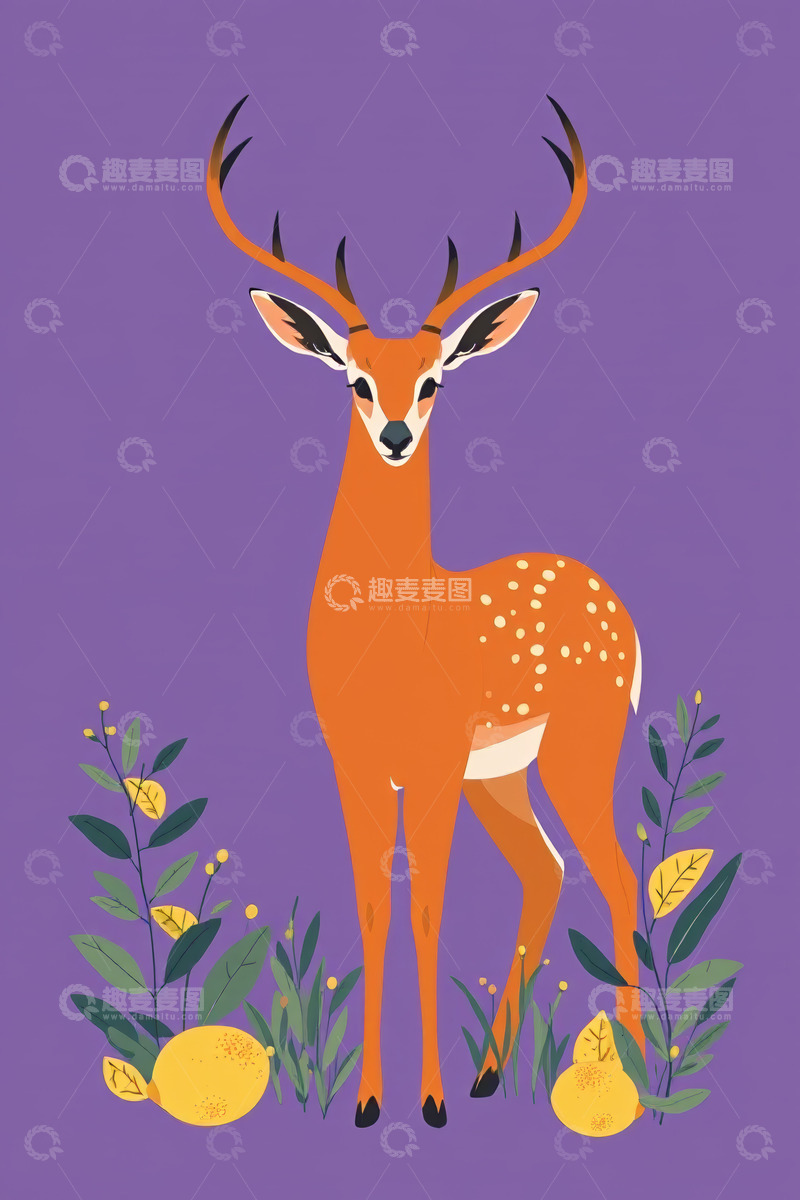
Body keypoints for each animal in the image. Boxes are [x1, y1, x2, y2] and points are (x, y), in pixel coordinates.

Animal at [208, 95, 643, 1129]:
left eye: (436, 377)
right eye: (355, 377)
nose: (400, 432)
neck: (396, 644)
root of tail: (621, 610)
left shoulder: (437, 760)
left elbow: (430, 907)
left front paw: (429, 1103)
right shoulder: (355, 762)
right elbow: (374, 908)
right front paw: (374, 1103)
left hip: (580, 742)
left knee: (613, 874)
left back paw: (640, 1081)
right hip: (506, 774)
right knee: (548, 870)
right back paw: (495, 1075)